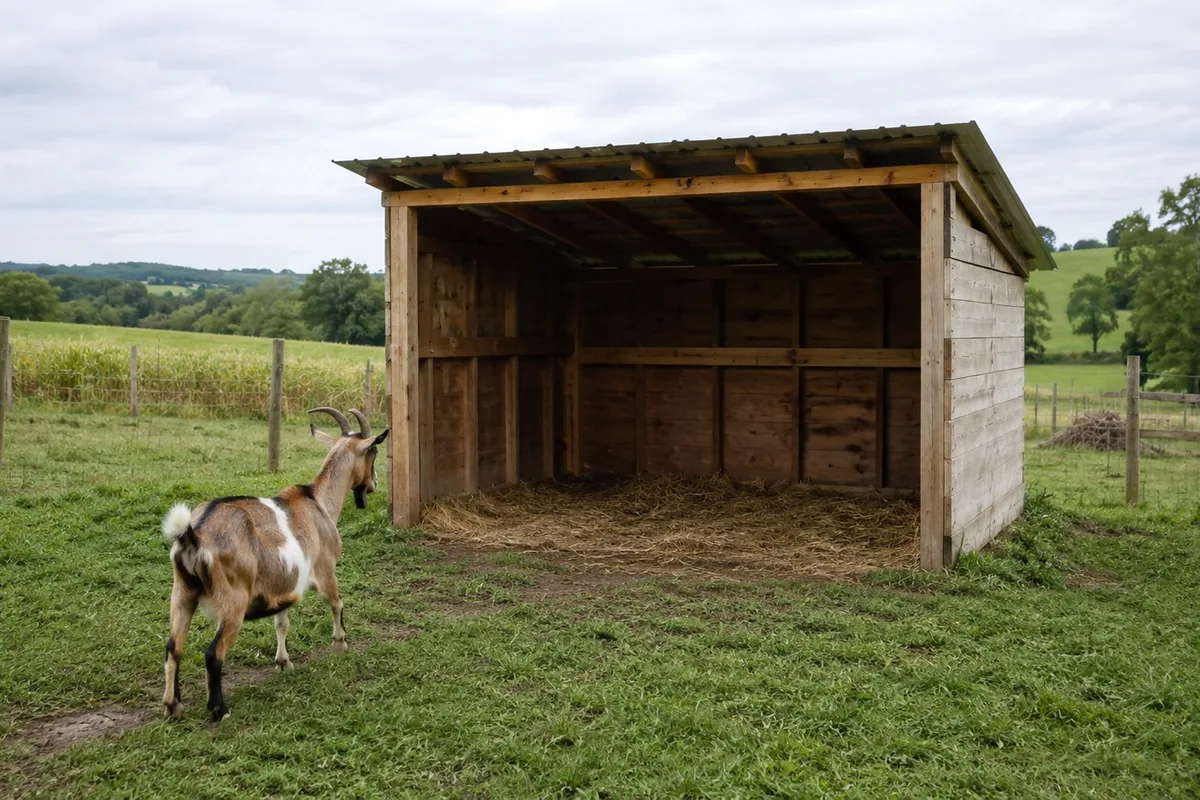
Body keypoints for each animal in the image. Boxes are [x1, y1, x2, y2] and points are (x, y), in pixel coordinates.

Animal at [160, 407, 388, 722]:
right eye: (374, 451)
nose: (374, 484)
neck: (317, 501)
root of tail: (194, 535)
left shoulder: (282, 585)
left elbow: (282, 622)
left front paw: (283, 662)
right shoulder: (325, 569)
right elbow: (337, 602)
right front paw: (340, 643)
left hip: (182, 594)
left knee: (173, 647)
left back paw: (173, 705)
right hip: (233, 601)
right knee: (213, 653)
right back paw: (219, 710)